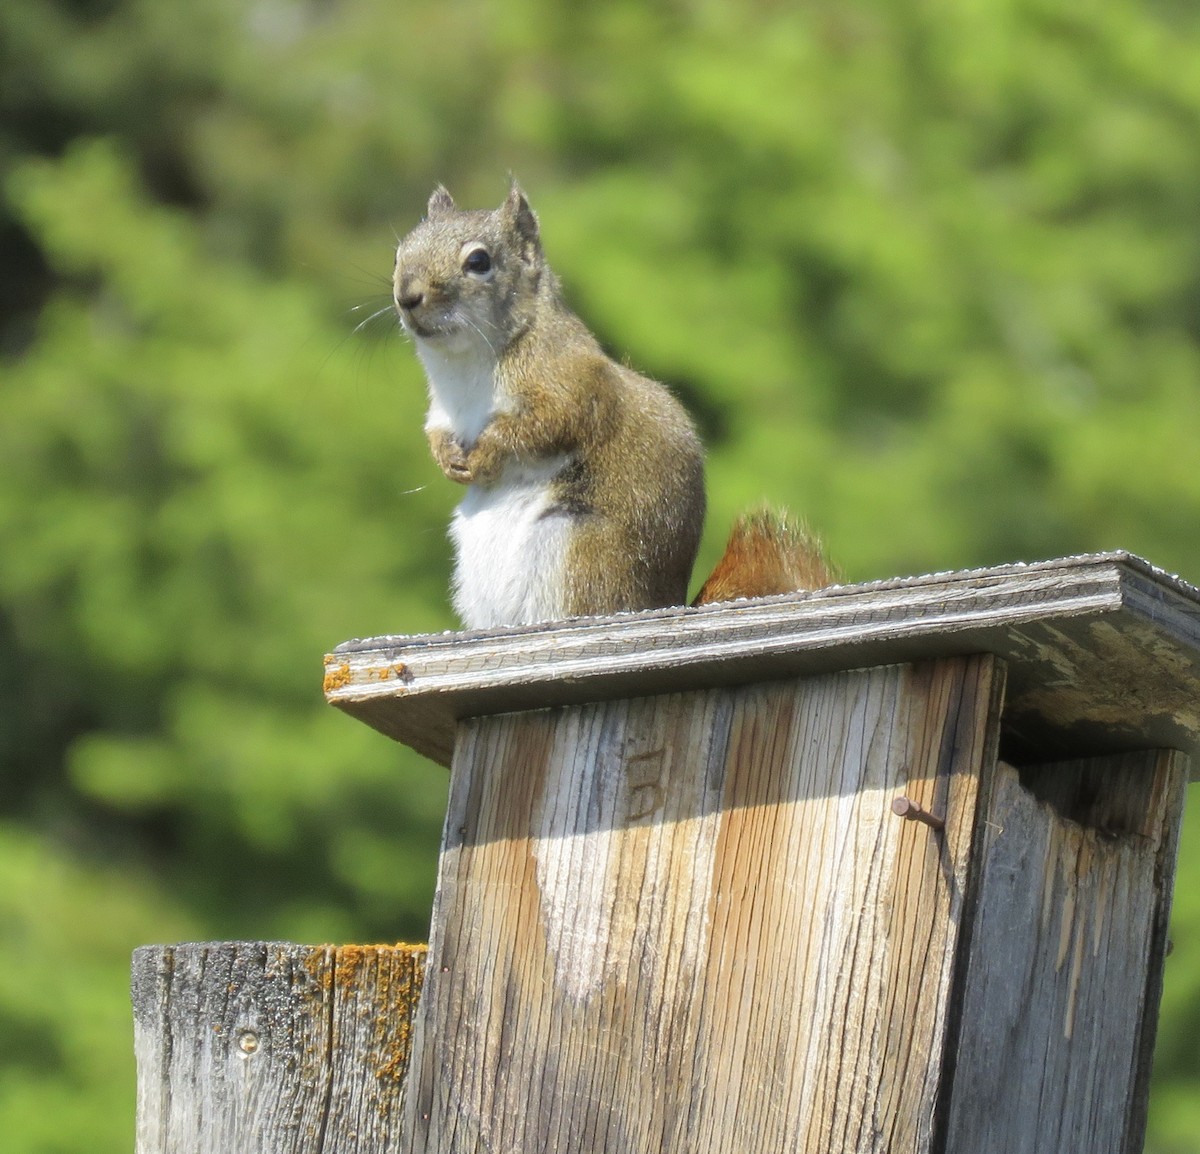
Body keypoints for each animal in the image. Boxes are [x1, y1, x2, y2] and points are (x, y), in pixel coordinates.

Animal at [393, 182, 836, 629]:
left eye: (478, 261)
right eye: (399, 254)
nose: (406, 296)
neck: (464, 364)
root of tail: (659, 603)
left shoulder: (568, 383)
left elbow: (543, 426)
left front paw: (486, 453)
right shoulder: (443, 410)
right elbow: (436, 431)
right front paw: (446, 457)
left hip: (575, 551)